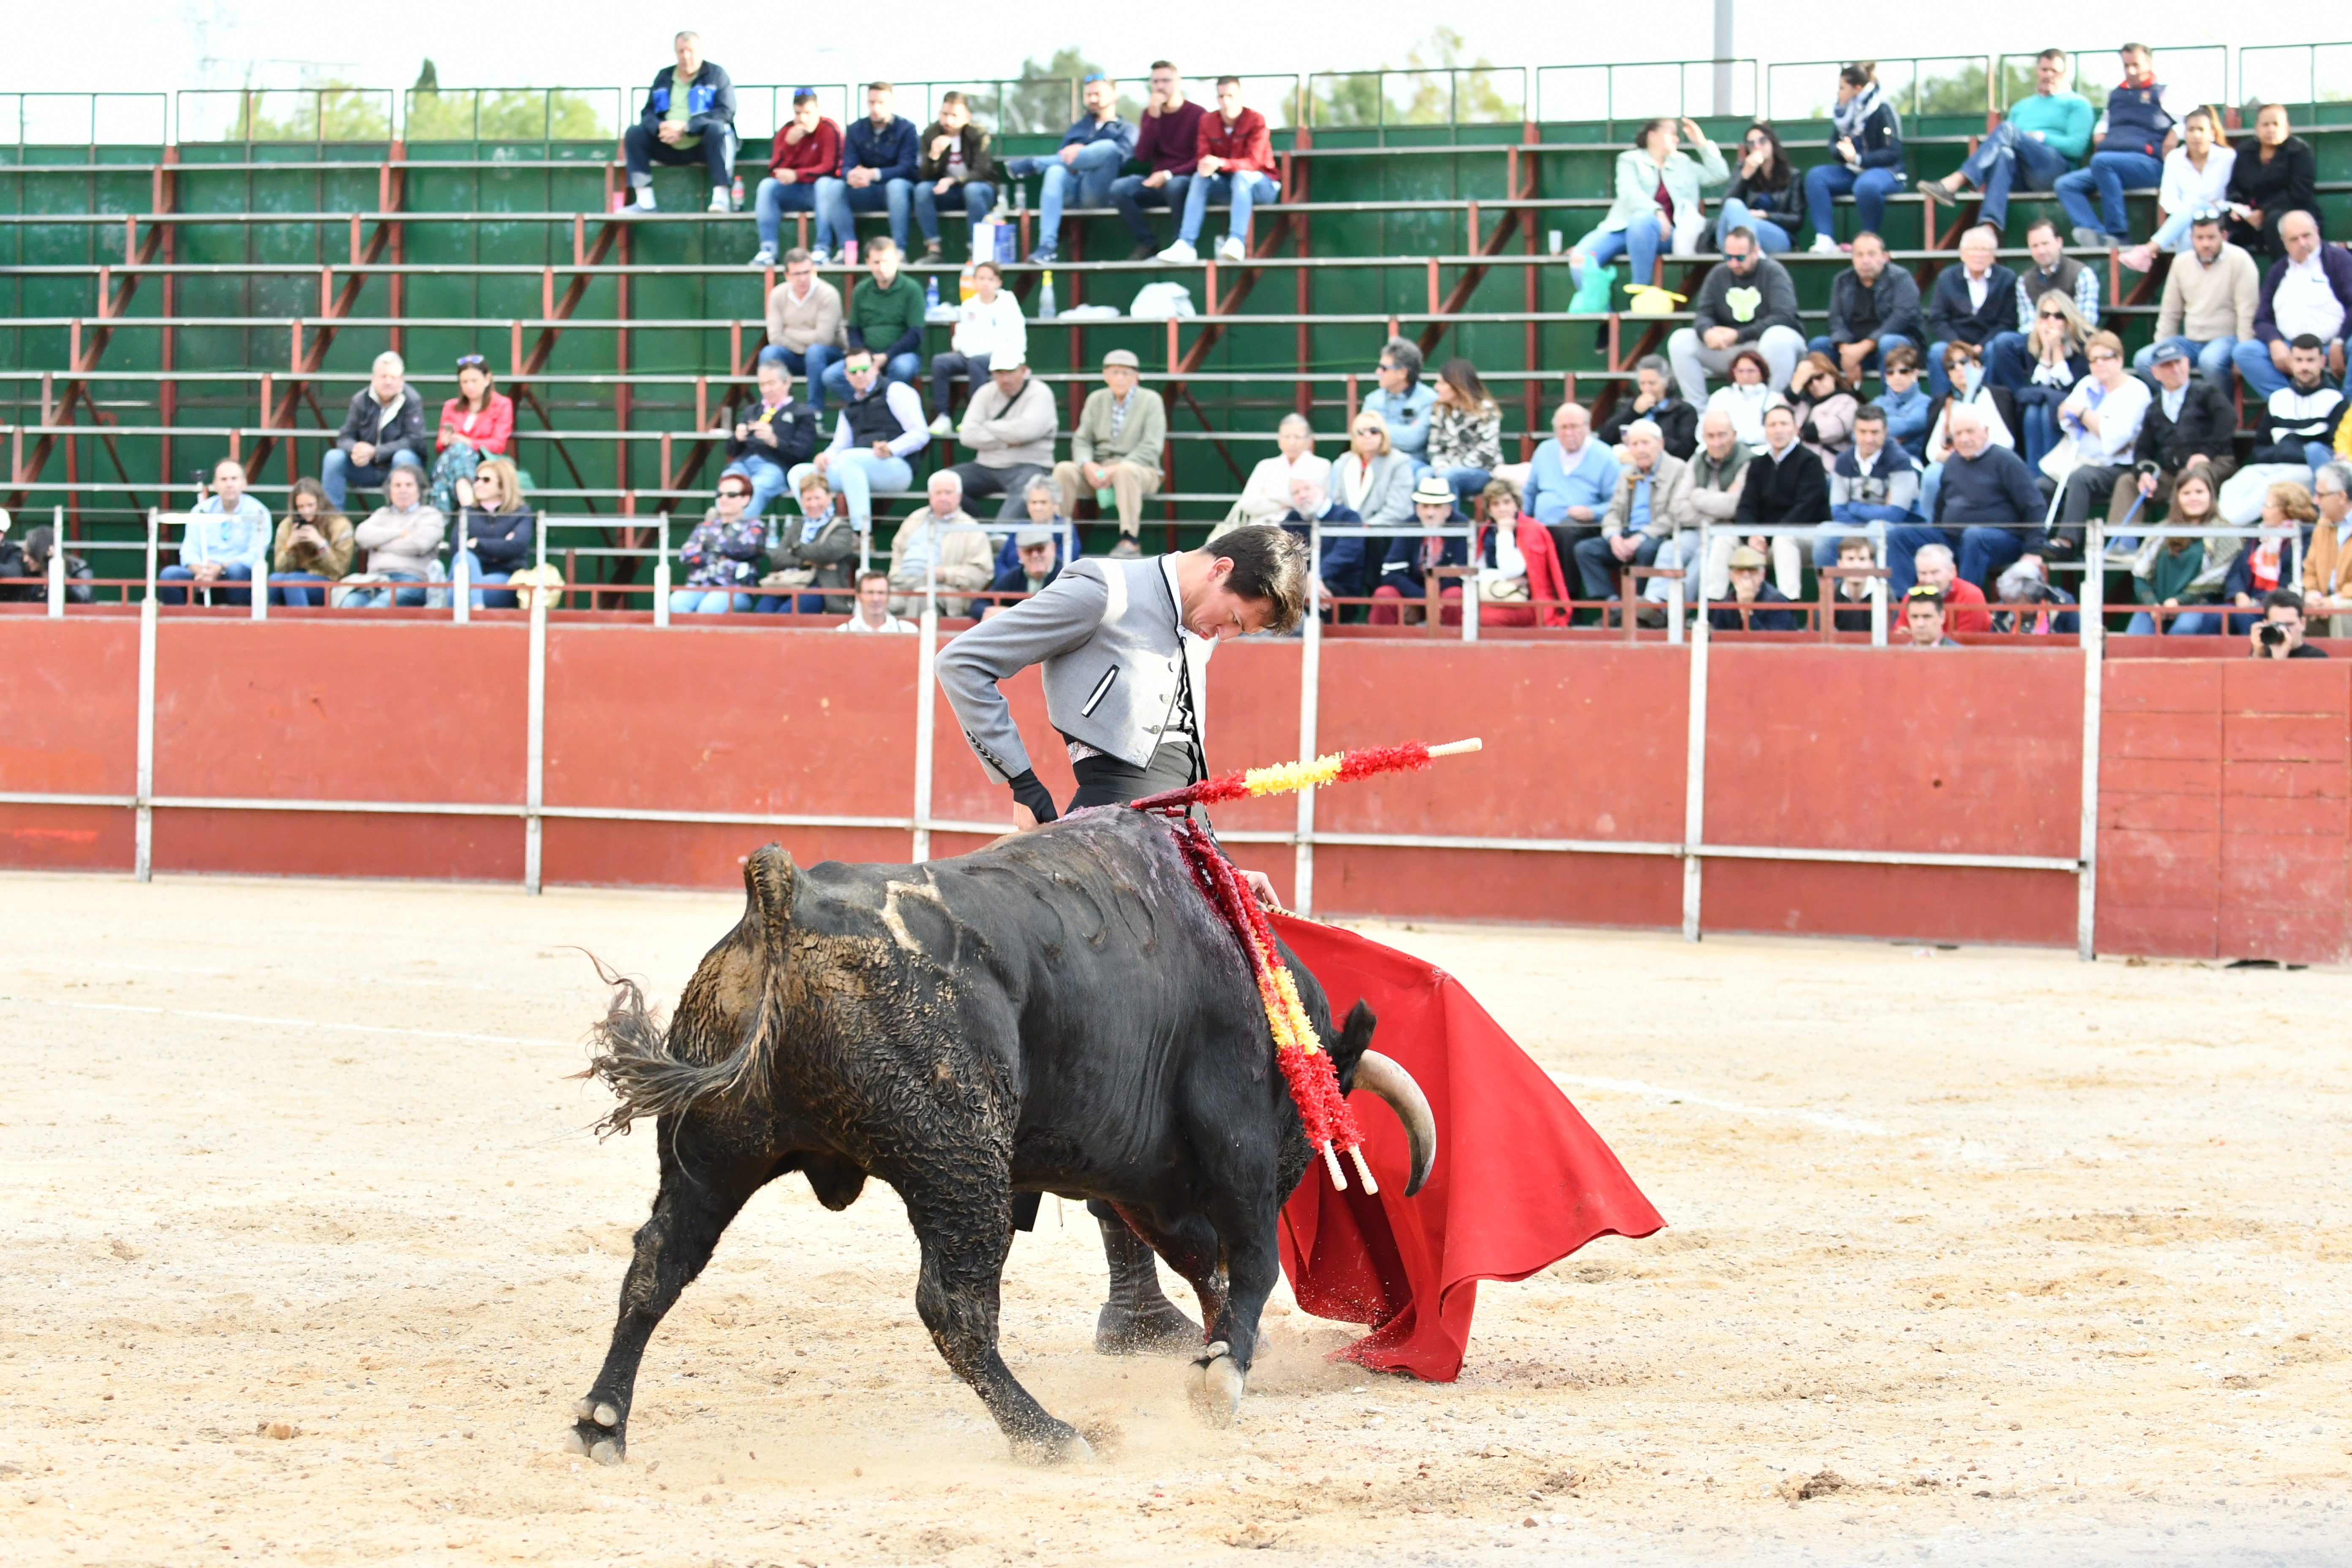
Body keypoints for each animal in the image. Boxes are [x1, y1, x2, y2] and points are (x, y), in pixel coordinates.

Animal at [569, 818, 1430, 1467]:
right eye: (1305, 1140)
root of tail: (787, 901)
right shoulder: (1236, 1147)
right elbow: (1253, 1262)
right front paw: (1222, 1377)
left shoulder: (1141, 1185)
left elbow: (1205, 1261)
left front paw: (1223, 1351)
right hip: (960, 1165)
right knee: (955, 1309)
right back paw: (1050, 1437)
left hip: (714, 1153)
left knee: (657, 1263)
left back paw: (602, 1421)